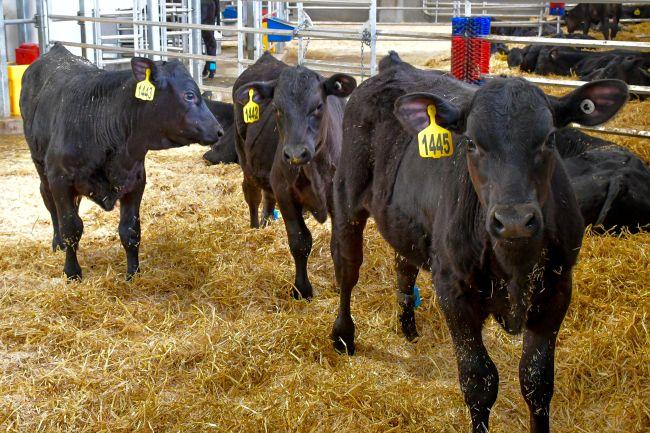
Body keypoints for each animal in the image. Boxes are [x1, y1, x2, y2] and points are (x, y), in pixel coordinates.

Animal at [21, 44, 223, 280]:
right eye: (189, 95)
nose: (219, 130)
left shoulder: (135, 181)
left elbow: (130, 230)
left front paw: (133, 274)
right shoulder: (60, 179)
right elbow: (71, 227)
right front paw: (72, 272)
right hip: (40, 165)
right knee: (49, 201)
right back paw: (58, 243)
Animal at [232, 53, 356, 299]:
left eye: (318, 106)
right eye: (277, 108)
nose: (296, 153)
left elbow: (338, 245)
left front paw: (341, 285)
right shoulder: (285, 193)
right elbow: (300, 241)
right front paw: (302, 289)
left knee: (266, 196)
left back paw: (266, 221)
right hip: (245, 159)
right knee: (252, 194)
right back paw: (255, 228)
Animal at [330, 52, 628, 433]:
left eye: (549, 138)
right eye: (471, 141)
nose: (514, 220)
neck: (514, 266)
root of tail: (394, 66)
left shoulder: (557, 289)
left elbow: (537, 381)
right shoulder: (454, 291)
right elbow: (479, 381)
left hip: (405, 220)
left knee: (404, 266)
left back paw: (408, 327)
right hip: (346, 198)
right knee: (347, 269)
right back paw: (343, 335)